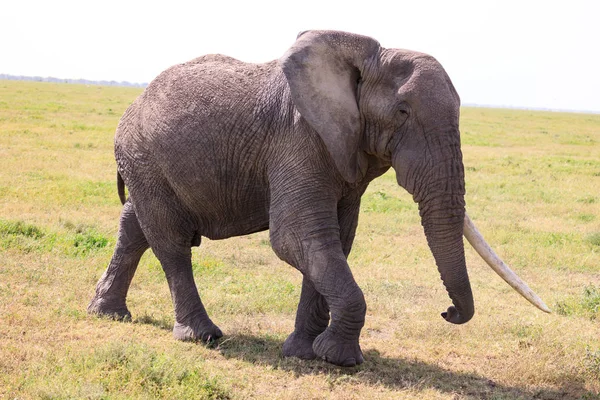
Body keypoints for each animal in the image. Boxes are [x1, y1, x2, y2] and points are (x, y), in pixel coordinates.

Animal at [86, 30, 552, 366]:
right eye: (402, 112)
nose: (448, 313)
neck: (367, 56)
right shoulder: (299, 139)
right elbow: (297, 237)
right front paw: (340, 359)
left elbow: (334, 242)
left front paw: (305, 353)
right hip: (144, 156)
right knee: (170, 241)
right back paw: (203, 337)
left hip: (146, 164)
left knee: (135, 227)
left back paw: (107, 314)